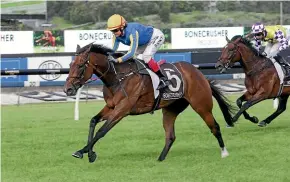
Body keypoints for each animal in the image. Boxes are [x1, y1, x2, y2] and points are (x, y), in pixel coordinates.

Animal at [63, 43, 236, 164]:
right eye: (70, 65)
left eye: (80, 66)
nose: (68, 89)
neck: (118, 77)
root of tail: (200, 74)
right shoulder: (111, 107)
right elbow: (93, 121)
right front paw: (88, 152)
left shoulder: (122, 109)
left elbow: (102, 131)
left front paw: (84, 152)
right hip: (170, 109)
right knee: (170, 136)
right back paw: (160, 159)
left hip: (201, 106)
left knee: (214, 127)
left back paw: (224, 152)